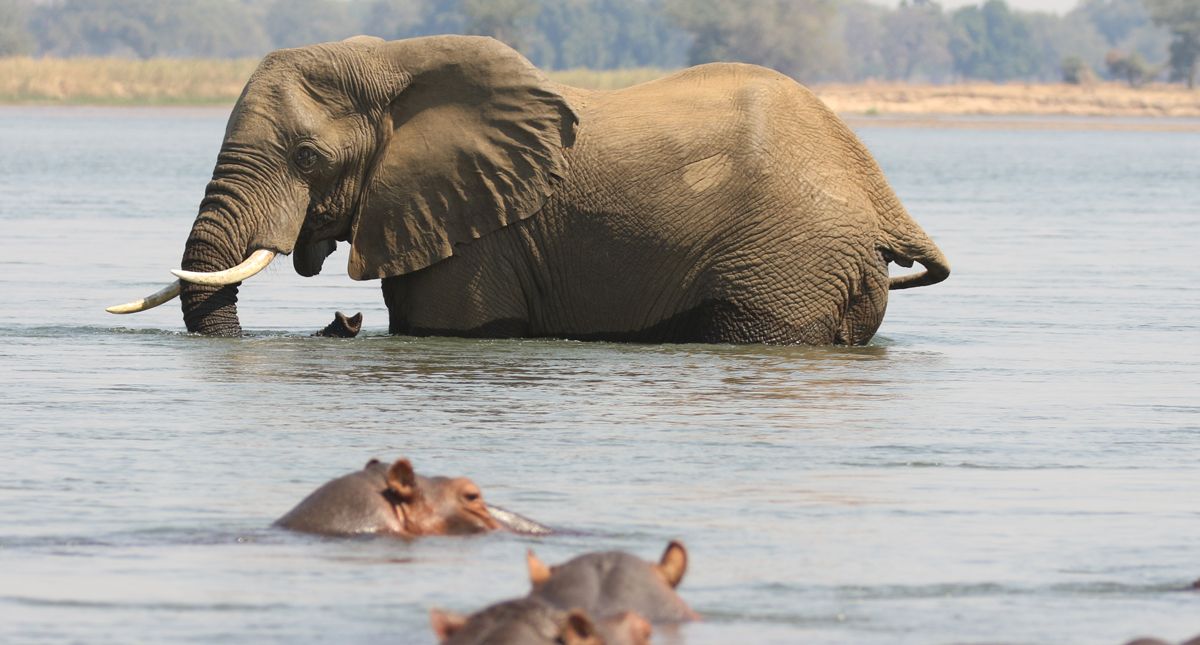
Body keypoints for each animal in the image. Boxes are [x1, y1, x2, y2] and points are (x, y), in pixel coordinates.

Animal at [108, 33, 945, 342]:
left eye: (309, 157)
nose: (340, 321)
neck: (392, 60)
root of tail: (876, 193)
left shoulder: (480, 240)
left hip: (787, 263)